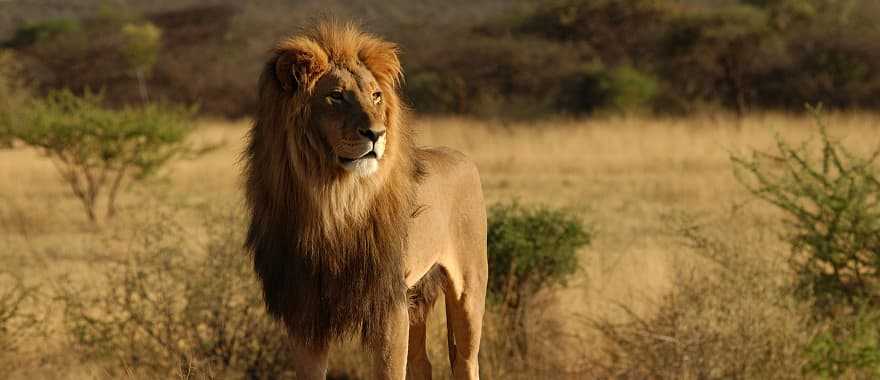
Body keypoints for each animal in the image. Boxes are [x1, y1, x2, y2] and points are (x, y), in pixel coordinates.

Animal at [241, 21, 488, 380]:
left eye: (375, 95)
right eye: (336, 96)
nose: (376, 134)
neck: (333, 200)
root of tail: (462, 156)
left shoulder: (388, 304)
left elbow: (389, 370)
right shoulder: (305, 310)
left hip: (468, 289)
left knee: (466, 360)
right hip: (416, 296)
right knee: (422, 363)